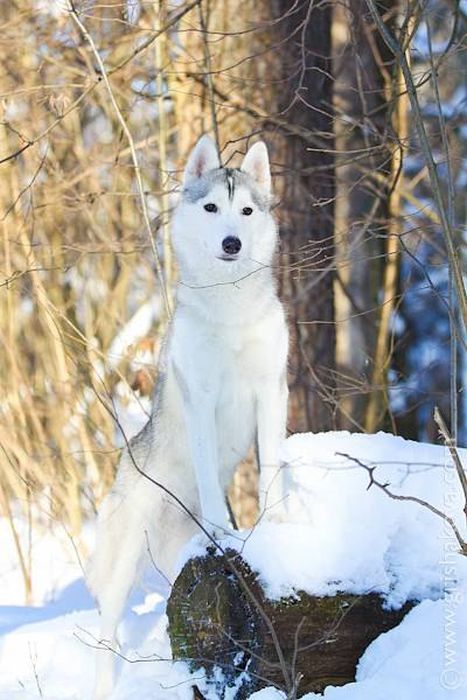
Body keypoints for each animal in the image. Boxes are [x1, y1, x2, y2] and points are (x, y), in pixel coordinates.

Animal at [86, 134, 288, 696]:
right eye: (212, 208)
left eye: (246, 211)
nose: (232, 242)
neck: (231, 308)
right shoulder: (202, 398)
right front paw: (225, 533)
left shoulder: (271, 392)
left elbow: (270, 470)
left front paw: (272, 526)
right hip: (125, 555)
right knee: (106, 631)